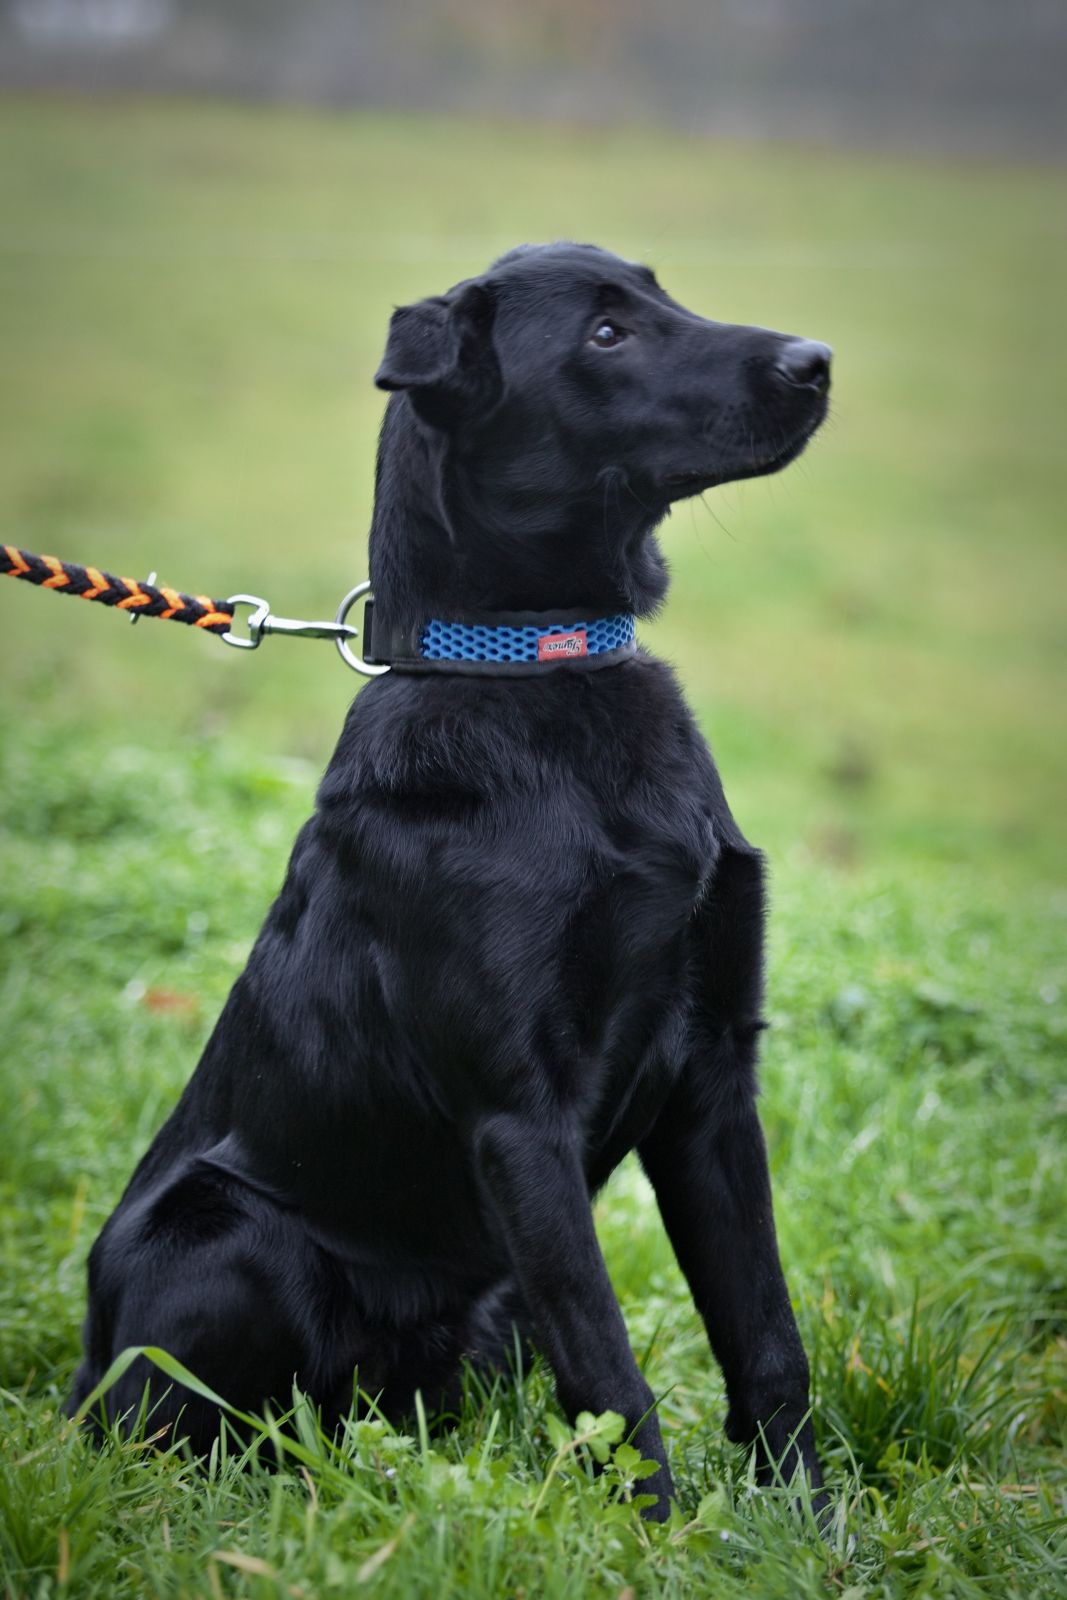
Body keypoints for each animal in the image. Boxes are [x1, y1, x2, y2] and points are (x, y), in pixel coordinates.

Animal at [69, 242, 831, 1520]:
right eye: (605, 334)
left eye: (657, 293)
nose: (815, 360)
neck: (540, 672)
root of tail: (79, 1365)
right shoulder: (517, 1117)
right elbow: (614, 1376)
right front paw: (660, 1540)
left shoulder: (715, 1073)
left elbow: (765, 1339)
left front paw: (811, 1527)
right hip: (223, 1232)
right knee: (168, 1429)